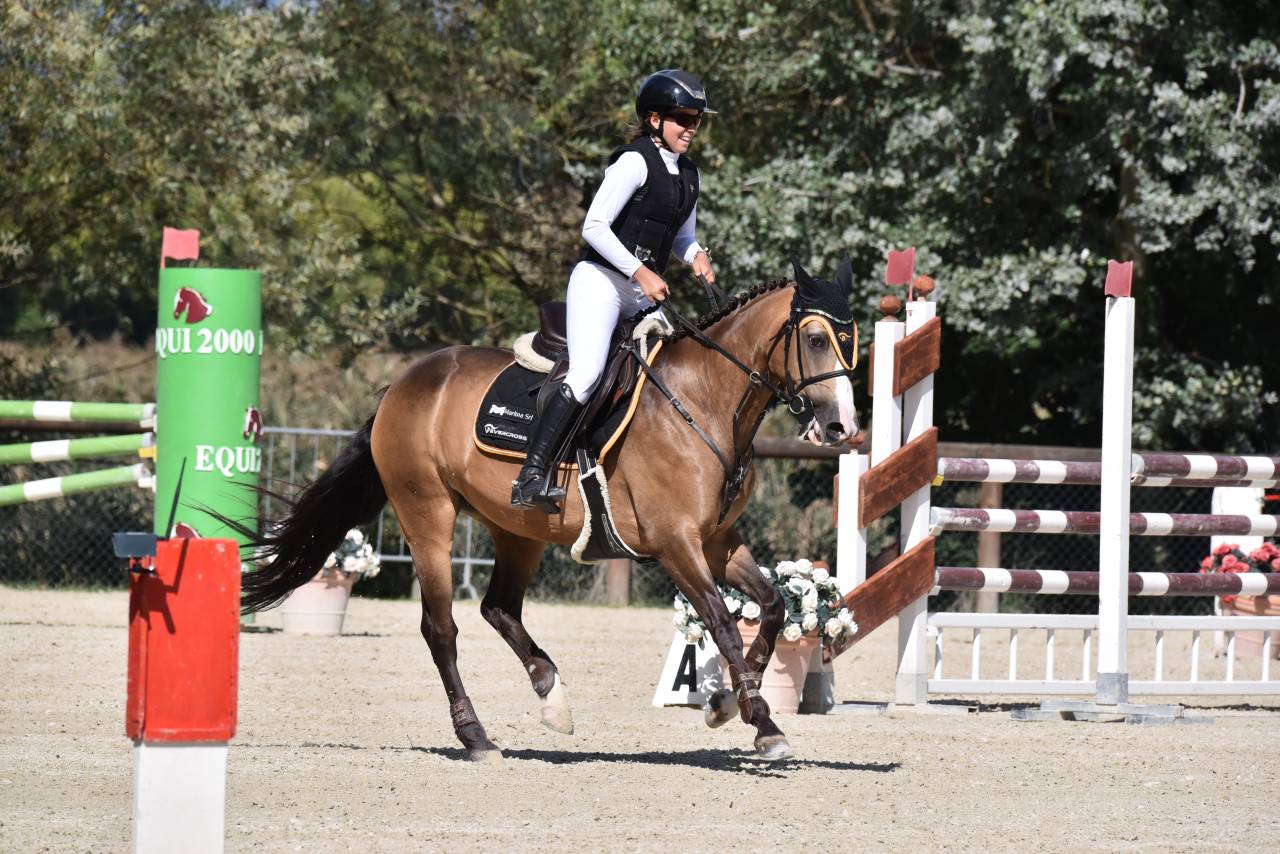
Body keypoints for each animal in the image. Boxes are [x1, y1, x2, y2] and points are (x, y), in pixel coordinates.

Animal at [240, 258, 864, 762]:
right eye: (814, 338)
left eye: (849, 339)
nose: (842, 427)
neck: (703, 402)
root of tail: (404, 382)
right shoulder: (675, 543)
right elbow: (723, 623)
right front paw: (762, 722)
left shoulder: (716, 540)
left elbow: (772, 608)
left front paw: (728, 702)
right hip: (428, 517)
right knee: (441, 627)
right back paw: (475, 736)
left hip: (516, 529)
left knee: (498, 608)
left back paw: (552, 696)